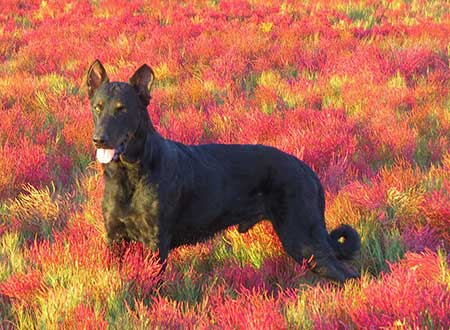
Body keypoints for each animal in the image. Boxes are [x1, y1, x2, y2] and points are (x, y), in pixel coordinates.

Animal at [87, 59, 362, 282]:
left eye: (122, 109)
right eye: (98, 107)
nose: (99, 139)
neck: (129, 175)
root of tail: (307, 170)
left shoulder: (155, 243)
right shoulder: (115, 239)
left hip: (303, 239)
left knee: (349, 276)